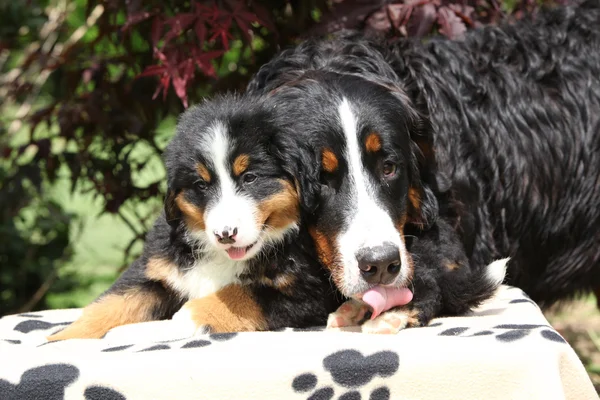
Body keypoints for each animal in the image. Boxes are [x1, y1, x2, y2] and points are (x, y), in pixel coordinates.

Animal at [45, 94, 342, 340]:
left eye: (250, 178)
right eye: (201, 185)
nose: (225, 234)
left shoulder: (308, 294)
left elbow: (235, 294)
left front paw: (166, 325)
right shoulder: (157, 270)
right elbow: (112, 302)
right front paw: (59, 340)